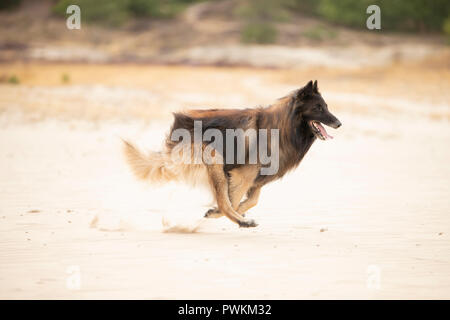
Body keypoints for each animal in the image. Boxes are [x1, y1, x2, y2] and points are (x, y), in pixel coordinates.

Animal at [123, 80, 342, 228]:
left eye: (326, 107)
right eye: (318, 108)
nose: (339, 123)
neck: (284, 127)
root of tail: (177, 125)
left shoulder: (256, 180)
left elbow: (251, 201)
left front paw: (228, 212)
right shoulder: (243, 175)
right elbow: (232, 201)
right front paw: (223, 214)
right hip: (214, 158)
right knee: (223, 199)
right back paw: (241, 222)